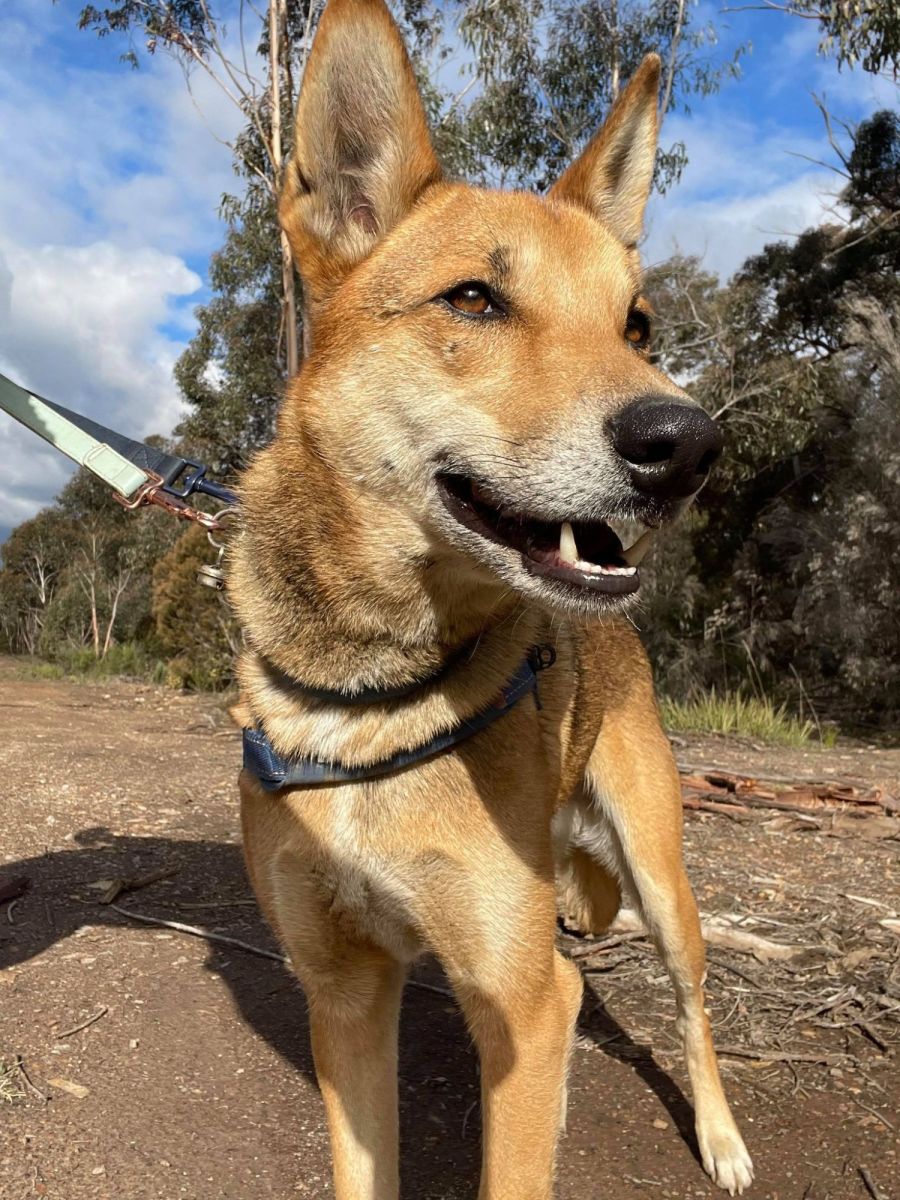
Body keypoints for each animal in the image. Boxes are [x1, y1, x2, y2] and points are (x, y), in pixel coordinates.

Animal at [229, 4, 758, 1195]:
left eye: (637, 325)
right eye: (474, 298)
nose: (690, 446)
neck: (374, 701)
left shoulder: (524, 1005)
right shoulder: (344, 995)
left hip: (663, 882)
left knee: (695, 1007)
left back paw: (722, 1136)